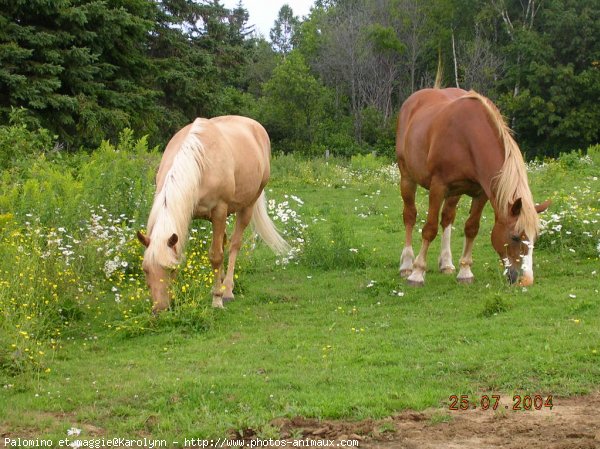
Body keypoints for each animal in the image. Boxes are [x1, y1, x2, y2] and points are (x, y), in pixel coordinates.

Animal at [139, 115, 292, 312]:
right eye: (145, 270)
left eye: (171, 269)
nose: (159, 310)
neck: (199, 163)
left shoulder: (219, 210)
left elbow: (216, 256)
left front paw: (217, 299)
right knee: (225, 241)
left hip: (247, 206)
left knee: (234, 244)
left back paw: (227, 289)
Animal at [396, 87, 552, 288]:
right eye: (515, 237)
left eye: (535, 238)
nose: (526, 281)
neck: (467, 138)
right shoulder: (438, 187)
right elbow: (429, 229)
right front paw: (417, 273)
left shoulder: (481, 193)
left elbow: (471, 228)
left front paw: (465, 272)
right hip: (407, 177)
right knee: (410, 216)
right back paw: (407, 264)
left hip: (454, 193)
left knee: (447, 218)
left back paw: (446, 263)